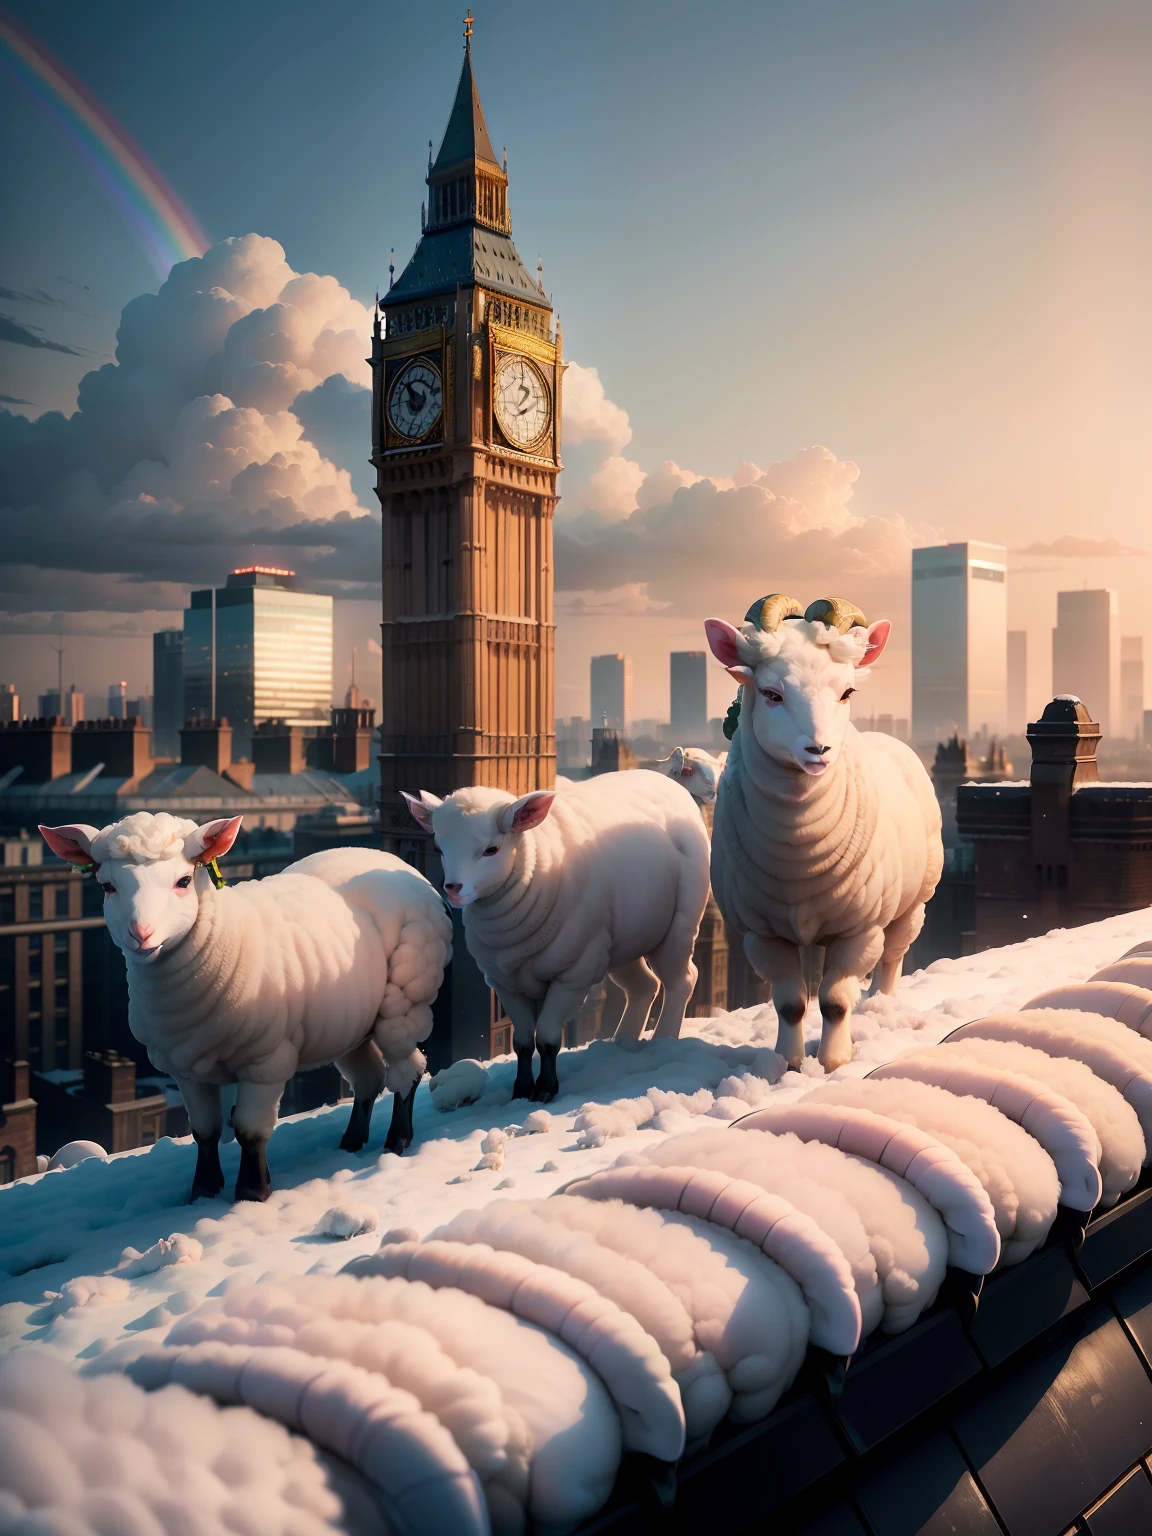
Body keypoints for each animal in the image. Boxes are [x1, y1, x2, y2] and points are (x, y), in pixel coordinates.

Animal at [37, 811, 451, 1204]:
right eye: (107, 886)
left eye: (183, 881)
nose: (141, 935)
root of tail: (390, 860)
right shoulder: (187, 1068)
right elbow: (205, 1131)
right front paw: (203, 1190)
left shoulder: (266, 1062)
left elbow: (250, 1131)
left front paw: (252, 1193)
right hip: (348, 1023)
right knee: (368, 1080)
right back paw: (351, 1142)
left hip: (405, 998)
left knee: (407, 1071)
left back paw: (397, 1141)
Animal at [402, 774, 712, 1099]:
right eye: (438, 849)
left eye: (491, 849)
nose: (453, 888)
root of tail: (666, 781)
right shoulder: (504, 982)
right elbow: (523, 1043)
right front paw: (522, 1089)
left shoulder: (573, 975)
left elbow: (548, 1038)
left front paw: (546, 1090)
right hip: (622, 941)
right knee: (644, 985)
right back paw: (623, 1044)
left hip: (679, 924)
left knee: (682, 979)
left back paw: (664, 1040)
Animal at [709, 589, 940, 1069]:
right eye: (771, 693)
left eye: (847, 691)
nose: (819, 750)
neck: (799, 849)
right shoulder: (761, 934)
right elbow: (791, 1004)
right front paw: (790, 1064)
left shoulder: (860, 929)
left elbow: (835, 1001)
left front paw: (834, 1063)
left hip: (912, 903)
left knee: (893, 957)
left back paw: (880, 1006)